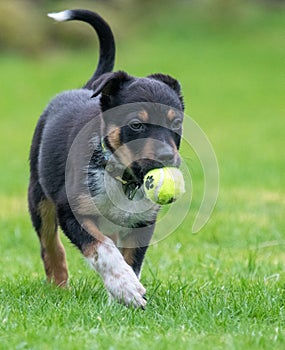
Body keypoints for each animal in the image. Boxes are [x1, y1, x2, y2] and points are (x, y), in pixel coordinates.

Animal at [28, 9, 184, 308]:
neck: (121, 176)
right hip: (38, 195)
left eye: (177, 124)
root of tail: (83, 88)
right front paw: (127, 289)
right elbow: (104, 251)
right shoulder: (71, 211)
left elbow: (131, 259)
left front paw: (122, 298)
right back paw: (58, 287)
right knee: (50, 244)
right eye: (136, 125)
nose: (167, 157)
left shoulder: (143, 221)